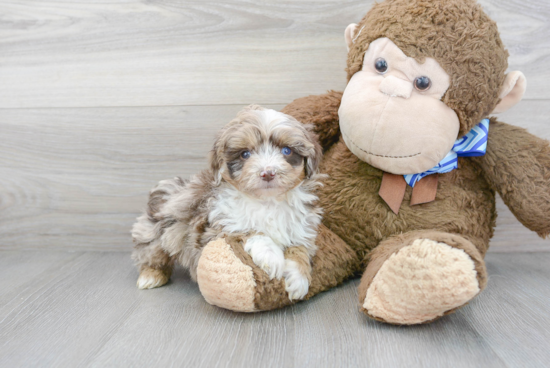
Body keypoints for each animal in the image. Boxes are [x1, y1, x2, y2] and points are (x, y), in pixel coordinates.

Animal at [132, 105, 326, 300]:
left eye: (286, 151)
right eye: (245, 154)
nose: (268, 173)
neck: (268, 201)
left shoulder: (301, 229)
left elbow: (300, 248)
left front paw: (298, 278)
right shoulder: (216, 228)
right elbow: (250, 230)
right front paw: (271, 256)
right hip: (156, 230)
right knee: (151, 252)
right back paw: (151, 276)